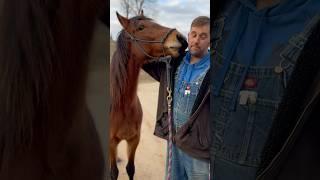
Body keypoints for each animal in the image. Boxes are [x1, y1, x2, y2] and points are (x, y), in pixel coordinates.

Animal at [109, 11, 186, 179]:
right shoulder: (111, 142)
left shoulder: (134, 140)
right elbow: (113, 172)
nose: (181, 38)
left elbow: (130, 168)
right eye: (141, 27)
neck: (122, 104)